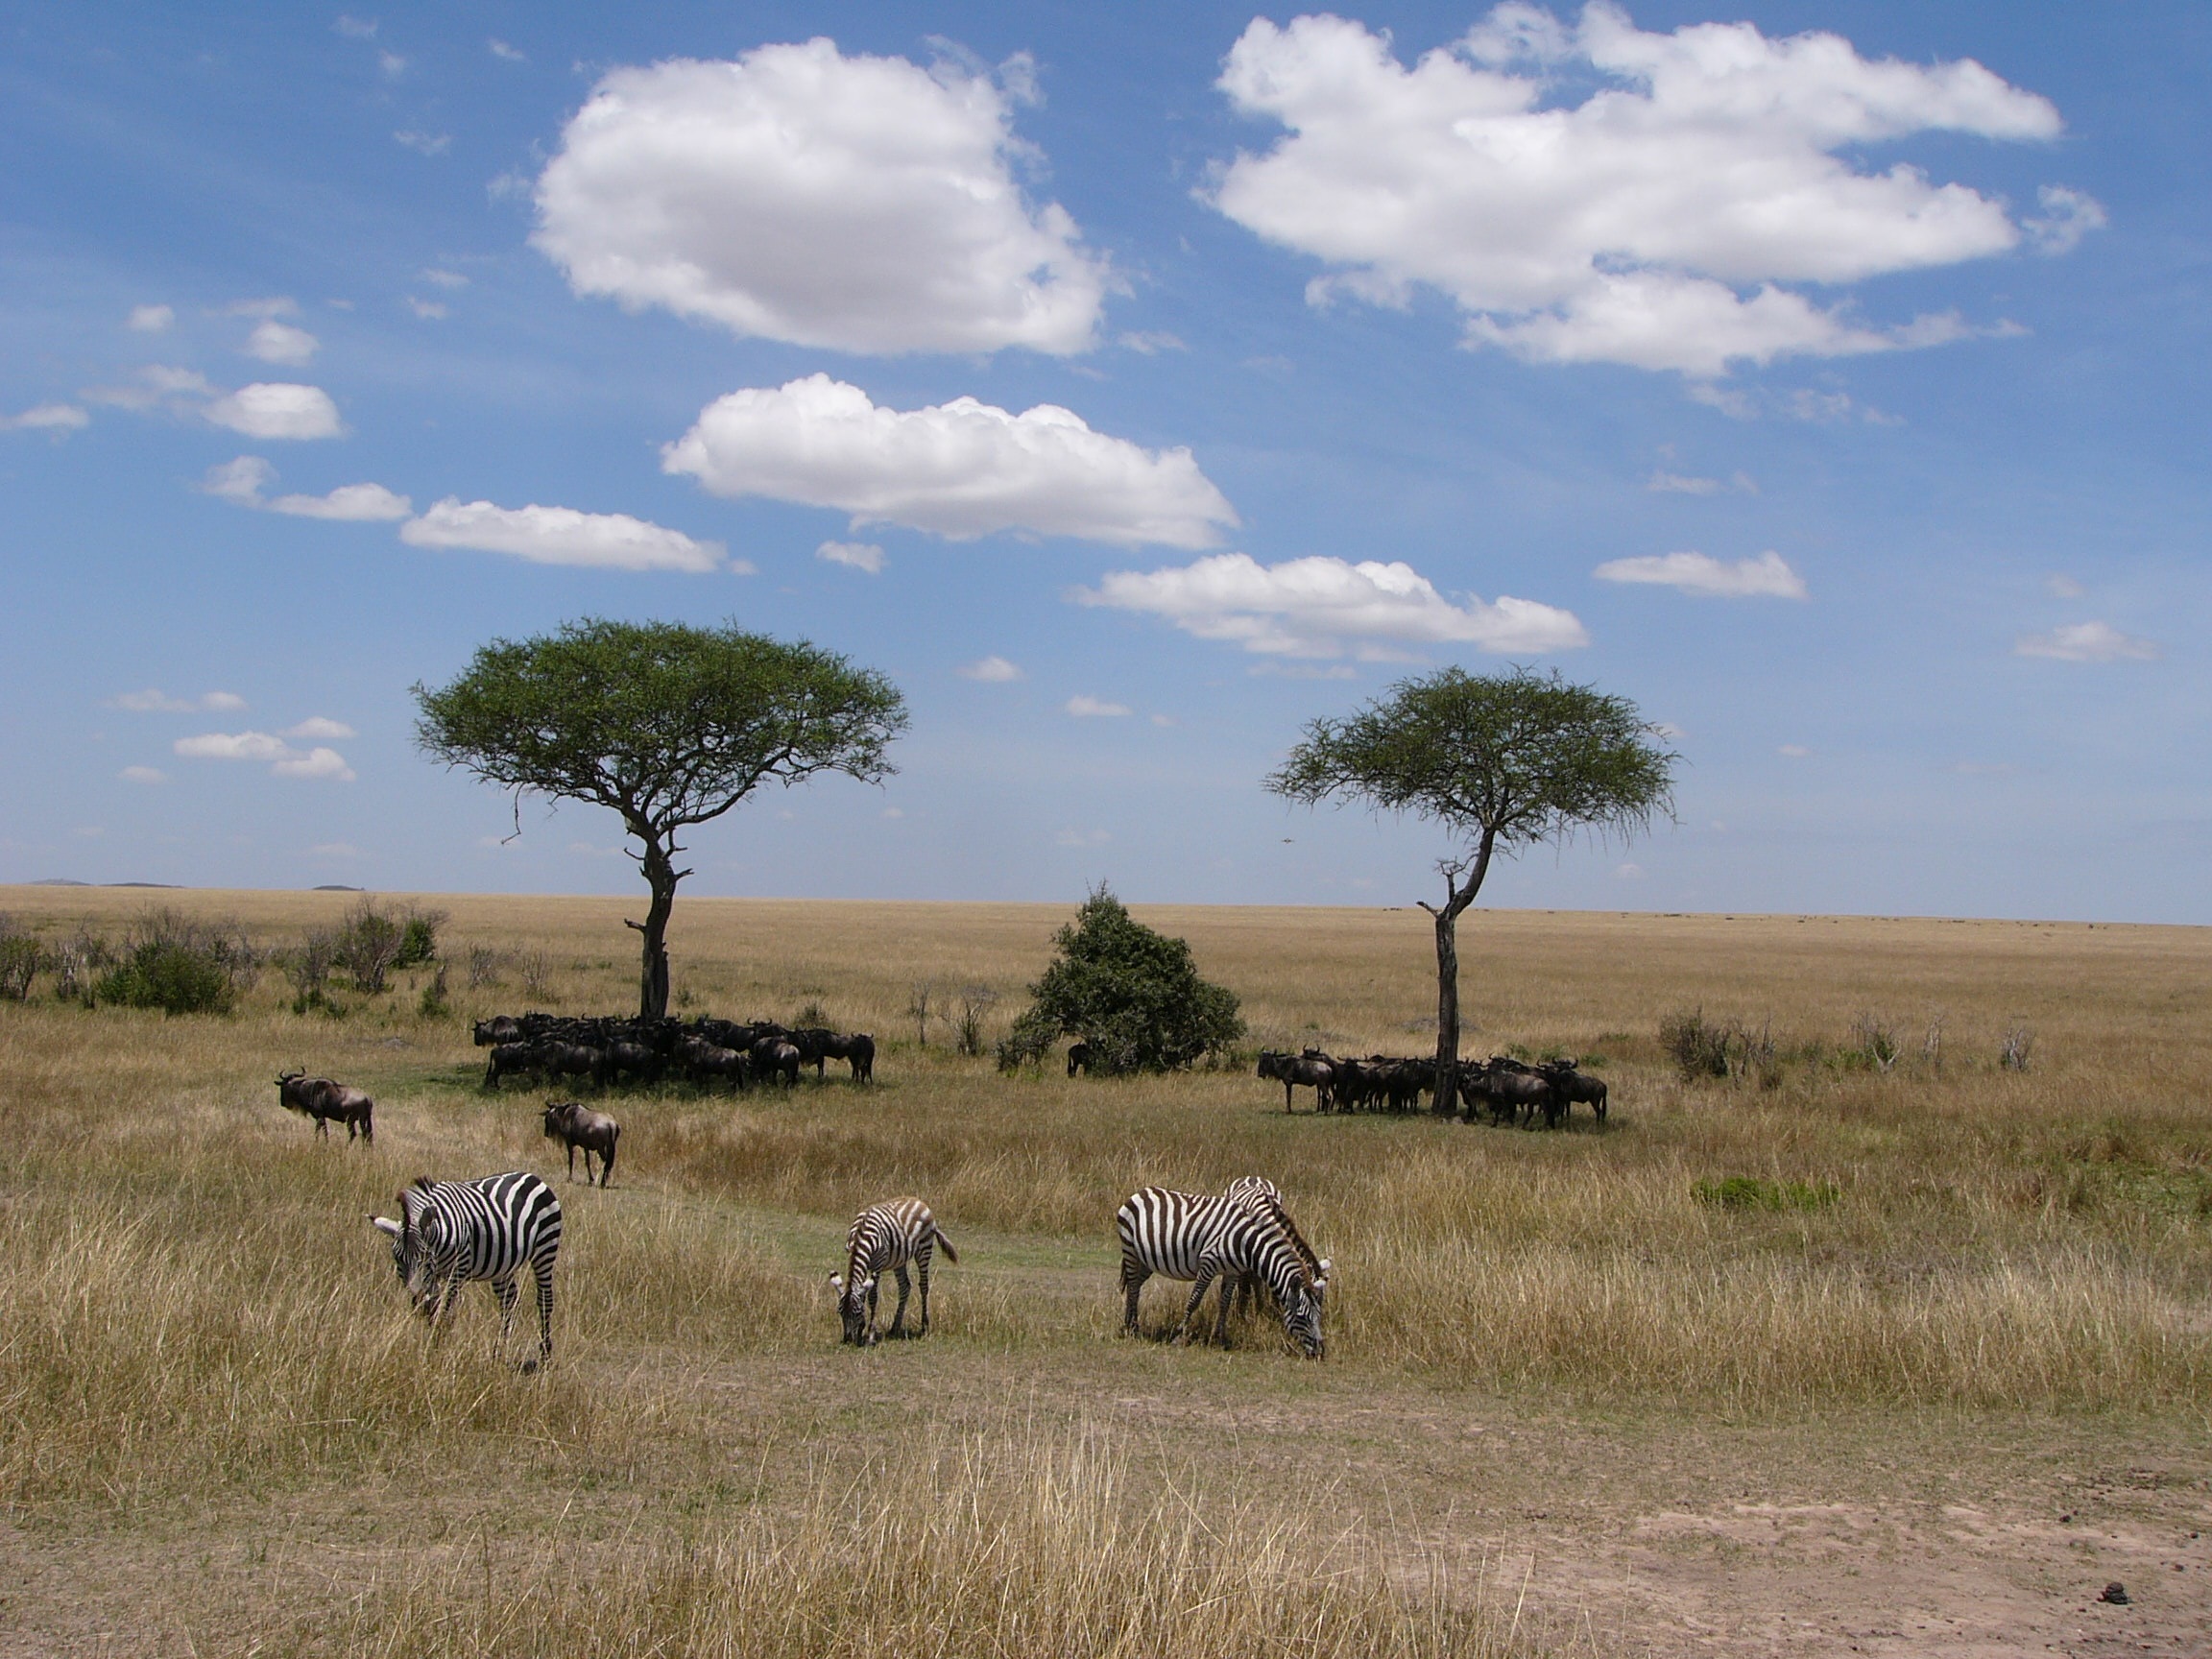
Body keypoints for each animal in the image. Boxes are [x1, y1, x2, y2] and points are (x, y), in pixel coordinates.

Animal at [369, 1167, 562, 1362]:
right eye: (398, 1259)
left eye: (425, 1256)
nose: (417, 1302)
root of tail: (531, 1176)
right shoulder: (433, 1276)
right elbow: (434, 1311)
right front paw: (432, 1347)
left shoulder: (457, 1271)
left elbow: (444, 1311)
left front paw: (436, 1350)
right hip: (503, 1265)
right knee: (509, 1301)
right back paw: (498, 1353)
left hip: (545, 1248)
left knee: (544, 1300)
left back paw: (545, 1355)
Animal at [831, 1194, 959, 1354]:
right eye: (840, 1312)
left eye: (857, 1312)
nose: (847, 1340)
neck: (860, 1237)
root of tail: (918, 1200)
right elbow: (864, 1292)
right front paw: (862, 1331)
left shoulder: (878, 1263)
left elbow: (872, 1296)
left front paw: (870, 1335)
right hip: (900, 1259)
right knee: (905, 1286)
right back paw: (894, 1328)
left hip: (924, 1249)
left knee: (923, 1286)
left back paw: (924, 1326)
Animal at [1115, 1194, 1318, 1362]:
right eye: (1303, 1318)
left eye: (1318, 1317)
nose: (1320, 1353)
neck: (1245, 1242)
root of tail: (1141, 1192)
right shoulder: (1208, 1263)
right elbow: (1194, 1301)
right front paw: (1180, 1335)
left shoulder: (1232, 1272)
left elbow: (1225, 1303)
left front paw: (1221, 1338)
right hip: (1130, 1250)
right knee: (1132, 1287)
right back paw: (1132, 1328)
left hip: (1146, 1260)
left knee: (1136, 1286)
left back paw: (1130, 1323)